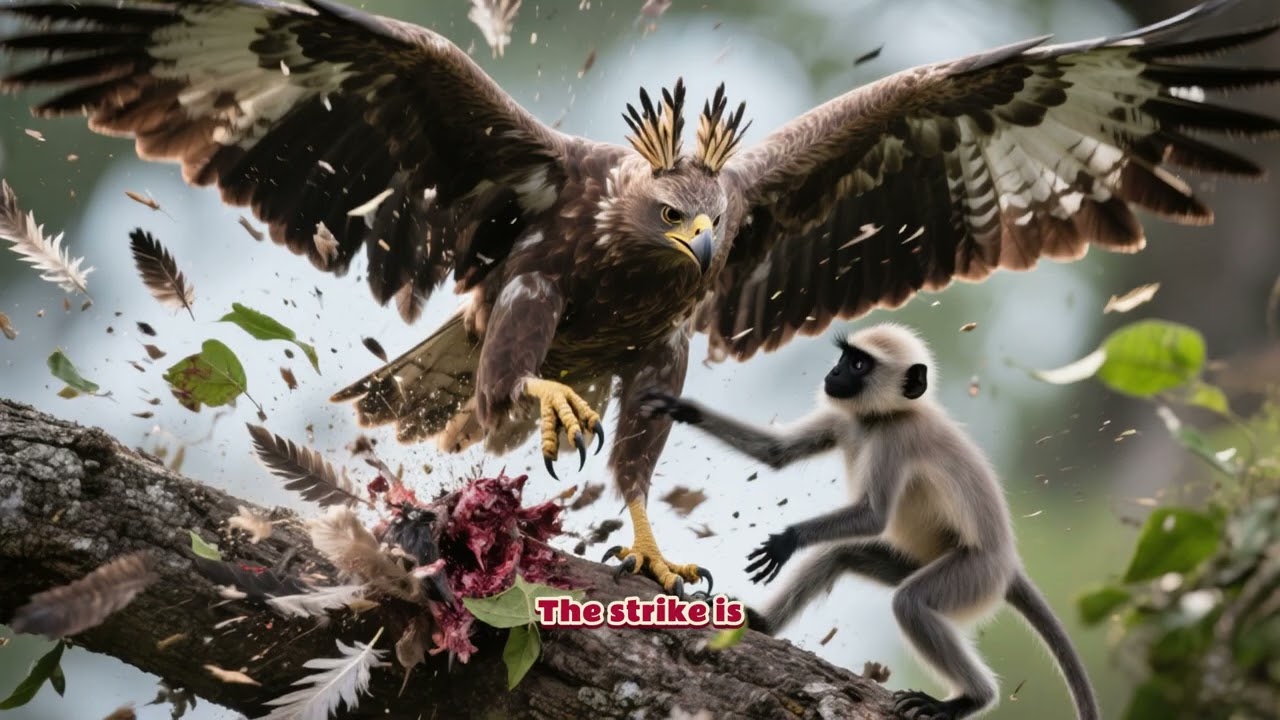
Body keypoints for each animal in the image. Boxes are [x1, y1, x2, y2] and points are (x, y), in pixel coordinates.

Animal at [640, 323, 1098, 720]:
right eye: (845, 358)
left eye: (859, 365)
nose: (834, 372)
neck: (877, 419)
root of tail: (1009, 562)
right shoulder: (844, 417)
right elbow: (776, 453)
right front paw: (680, 408)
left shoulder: (896, 439)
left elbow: (875, 517)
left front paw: (786, 540)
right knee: (842, 553)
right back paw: (761, 623)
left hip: (974, 574)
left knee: (910, 602)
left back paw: (967, 700)